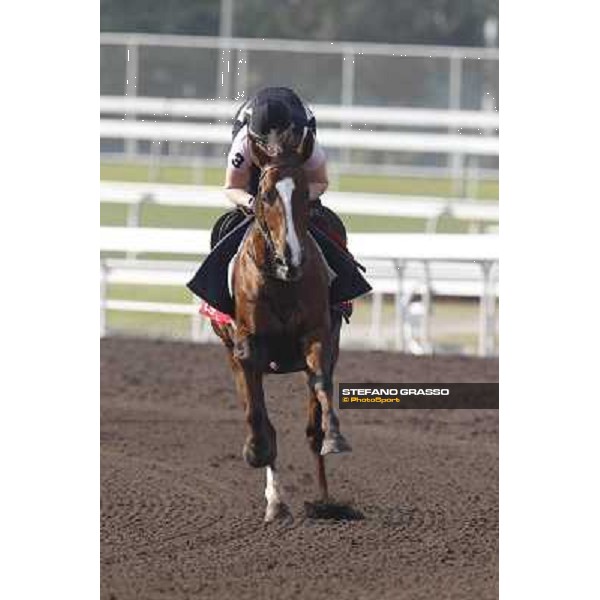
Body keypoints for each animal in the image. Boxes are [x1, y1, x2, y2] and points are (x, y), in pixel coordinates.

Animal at [211, 139, 352, 520]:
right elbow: (257, 415)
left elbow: (321, 390)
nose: (292, 258)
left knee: (311, 424)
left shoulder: (319, 334)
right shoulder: (246, 347)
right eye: (266, 193)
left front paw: (334, 438)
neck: (282, 282)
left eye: (304, 192)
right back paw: (276, 501)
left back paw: (325, 499)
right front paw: (257, 454)